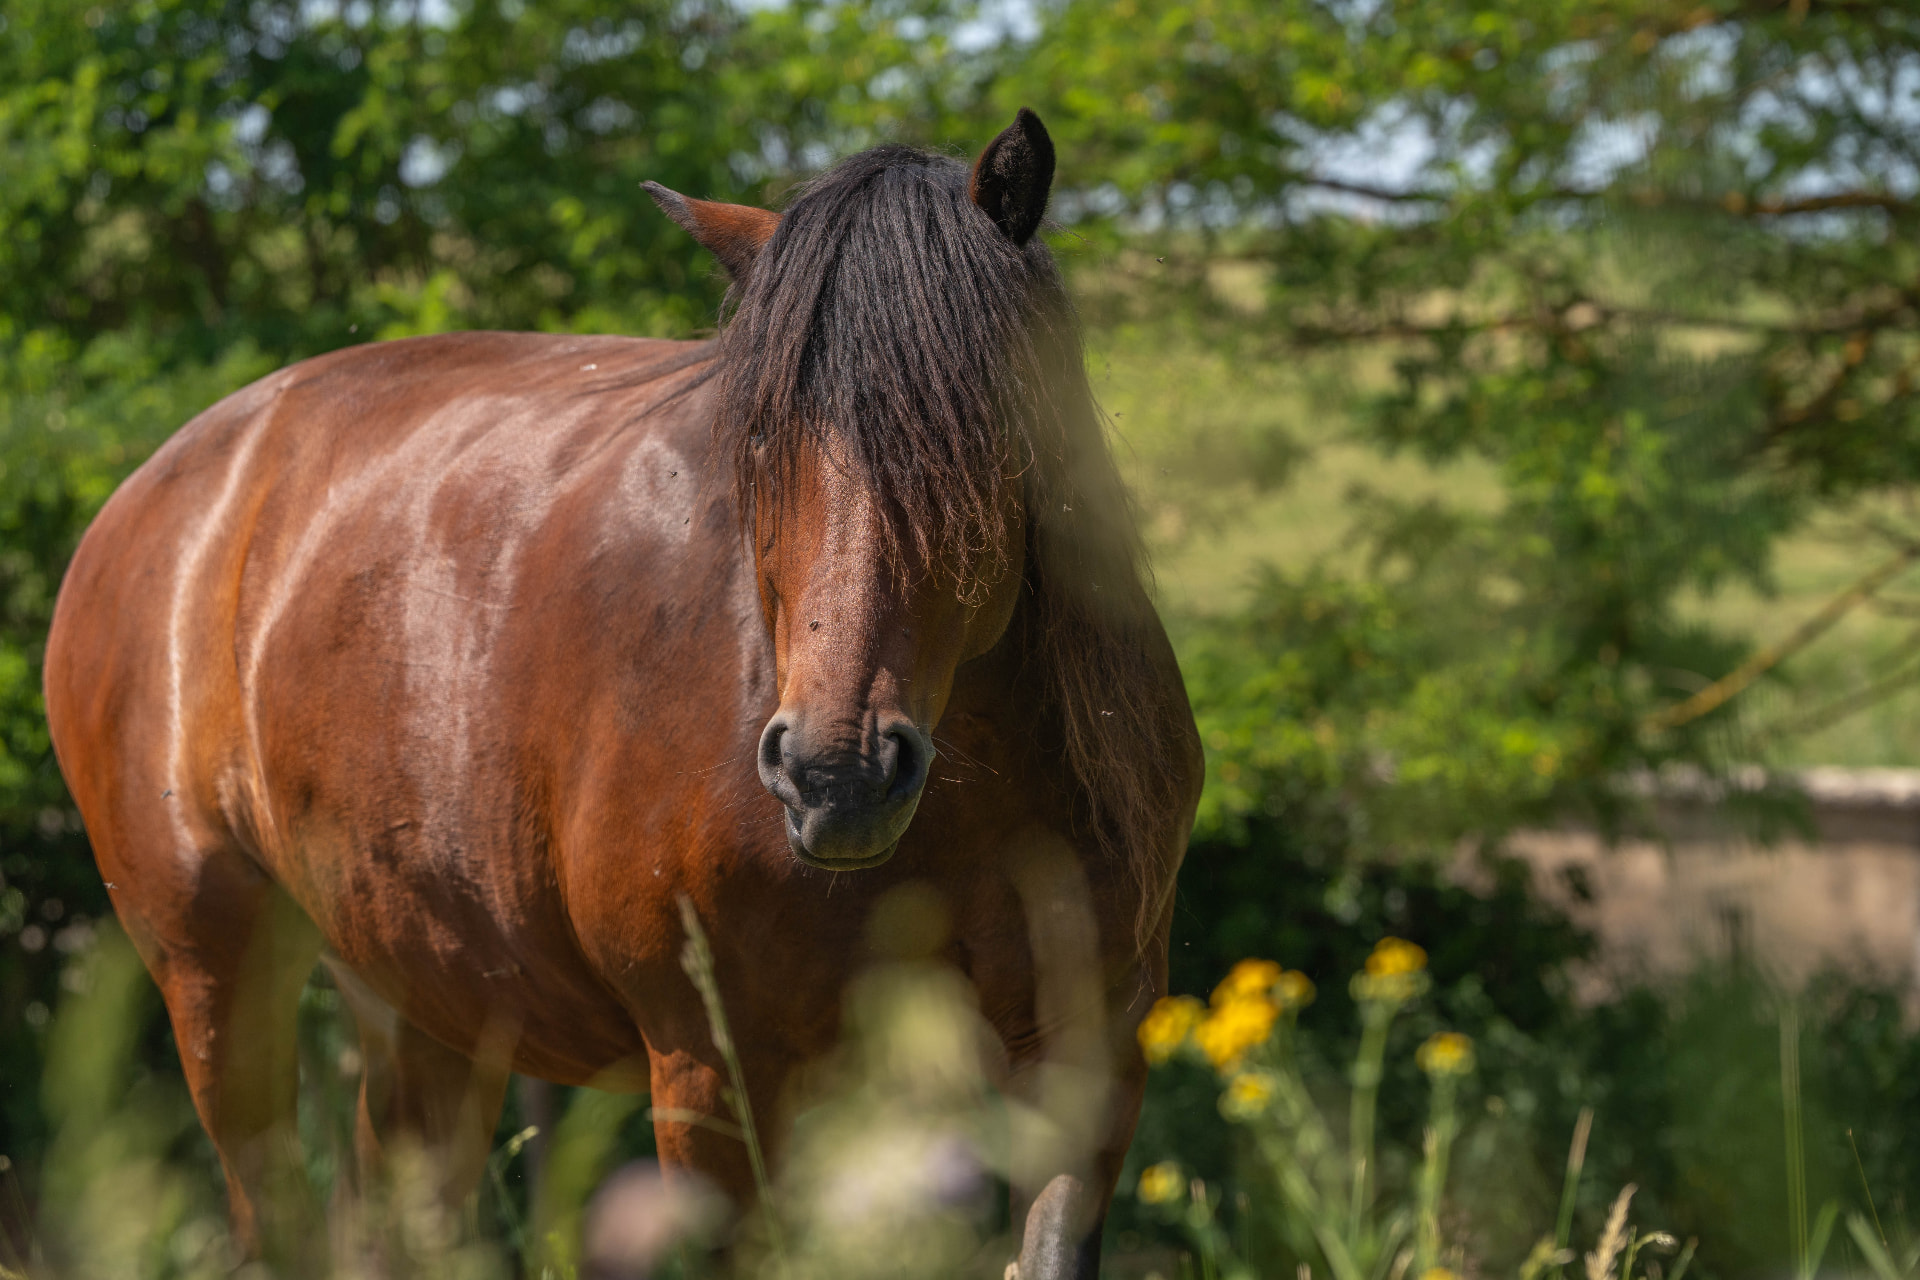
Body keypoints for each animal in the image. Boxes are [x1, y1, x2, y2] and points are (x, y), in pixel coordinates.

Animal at [43, 109, 1201, 1278]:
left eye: (983, 427)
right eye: (759, 435)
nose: (835, 775)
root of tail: (160, 491)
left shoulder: (1088, 1062)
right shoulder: (709, 1078)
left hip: (419, 998)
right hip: (216, 980)